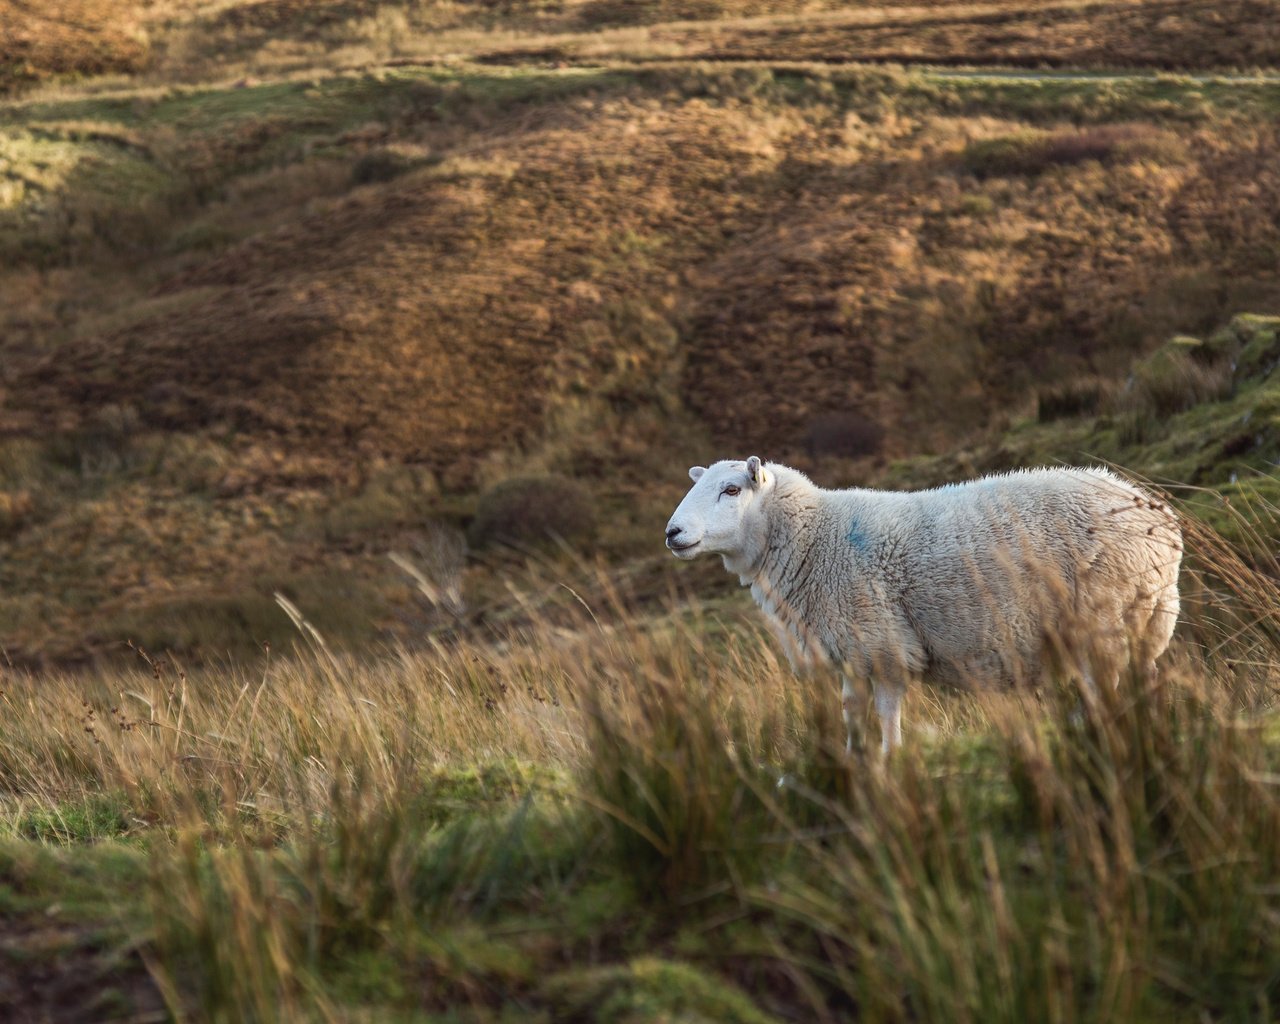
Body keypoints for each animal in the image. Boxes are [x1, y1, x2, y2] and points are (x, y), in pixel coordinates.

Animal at [665, 455, 1182, 752]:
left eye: (732, 490)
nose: (672, 533)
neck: (814, 537)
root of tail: (1158, 516)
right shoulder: (852, 652)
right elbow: (852, 715)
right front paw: (855, 766)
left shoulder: (883, 644)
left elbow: (886, 716)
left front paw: (890, 766)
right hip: (1146, 618)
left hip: (1105, 617)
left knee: (1105, 689)